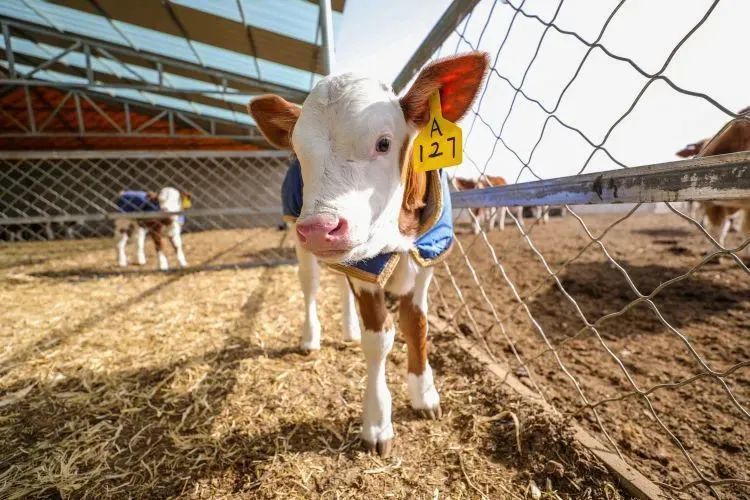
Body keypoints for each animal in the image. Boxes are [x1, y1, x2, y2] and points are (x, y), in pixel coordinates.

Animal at [250, 52, 490, 456]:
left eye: (383, 143)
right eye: (297, 152)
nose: (320, 227)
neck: (398, 238)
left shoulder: (427, 259)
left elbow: (417, 325)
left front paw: (424, 394)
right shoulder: (366, 268)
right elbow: (378, 340)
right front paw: (377, 422)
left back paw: (347, 328)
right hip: (301, 241)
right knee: (310, 286)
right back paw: (311, 337)